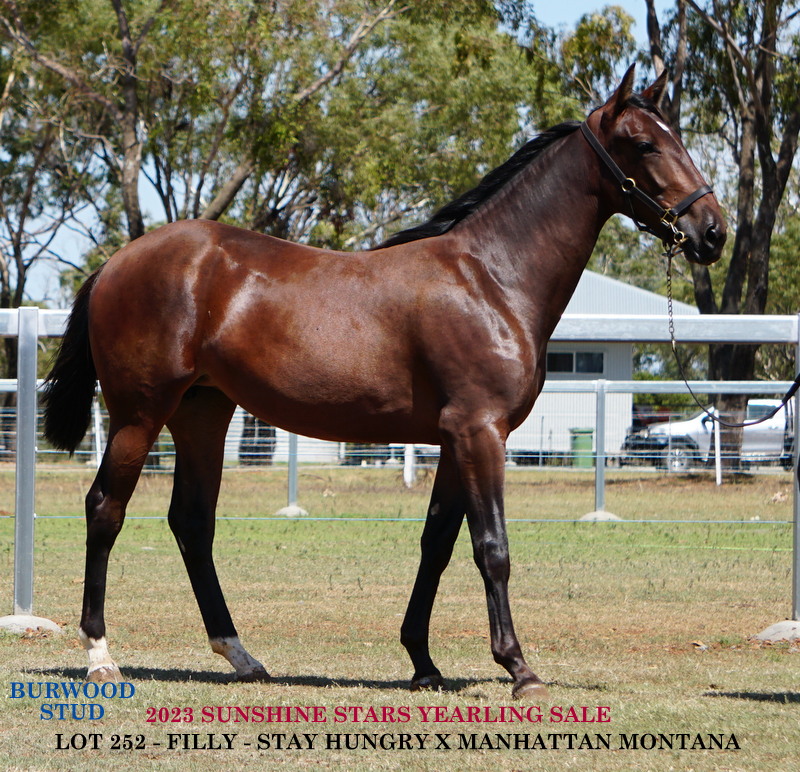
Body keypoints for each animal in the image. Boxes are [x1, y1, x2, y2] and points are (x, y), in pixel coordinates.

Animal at [42, 66, 725, 699]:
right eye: (644, 144)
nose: (713, 230)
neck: (491, 277)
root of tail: (116, 263)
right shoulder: (480, 433)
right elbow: (492, 548)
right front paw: (519, 668)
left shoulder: (455, 440)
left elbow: (437, 544)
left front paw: (423, 661)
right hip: (138, 415)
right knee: (105, 510)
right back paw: (100, 655)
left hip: (203, 414)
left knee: (192, 523)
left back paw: (240, 654)